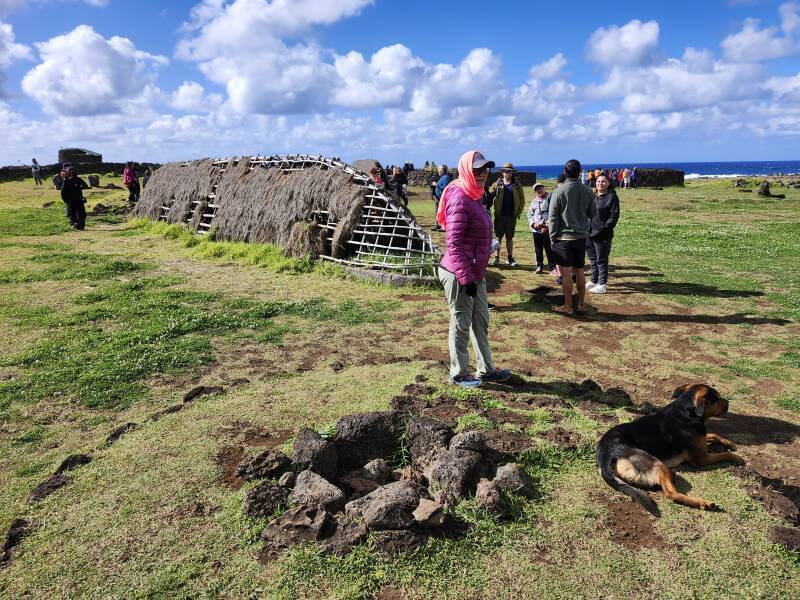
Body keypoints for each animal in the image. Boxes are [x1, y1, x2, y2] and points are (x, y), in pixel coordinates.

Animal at [592, 384, 744, 516]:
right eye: (717, 398)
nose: (729, 402)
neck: (685, 412)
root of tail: (605, 457)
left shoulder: (701, 441)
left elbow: (713, 434)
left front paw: (730, 443)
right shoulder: (700, 458)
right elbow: (724, 454)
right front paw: (738, 458)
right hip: (657, 463)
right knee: (671, 494)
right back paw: (704, 503)